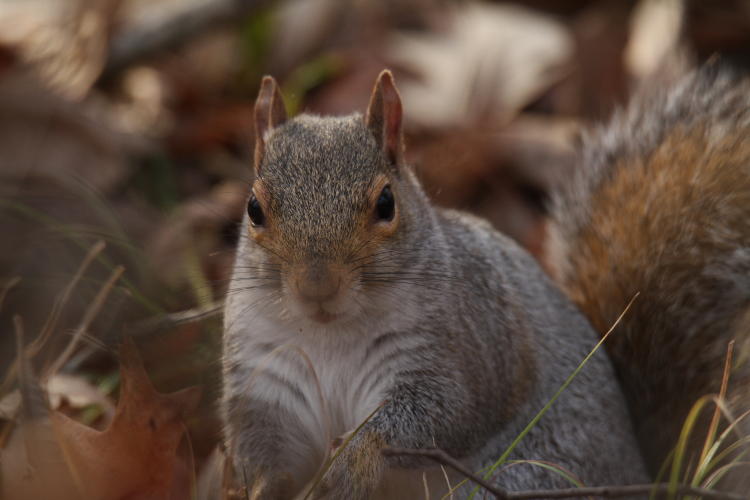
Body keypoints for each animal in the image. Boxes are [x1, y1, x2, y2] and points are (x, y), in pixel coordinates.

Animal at [220, 65, 748, 496]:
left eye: (386, 204)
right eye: (254, 209)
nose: (316, 286)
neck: (329, 334)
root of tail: (642, 471)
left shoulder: (462, 351)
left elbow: (437, 417)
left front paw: (354, 461)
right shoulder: (267, 379)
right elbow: (269, 454)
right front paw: (256, 489)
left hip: (528, 476)